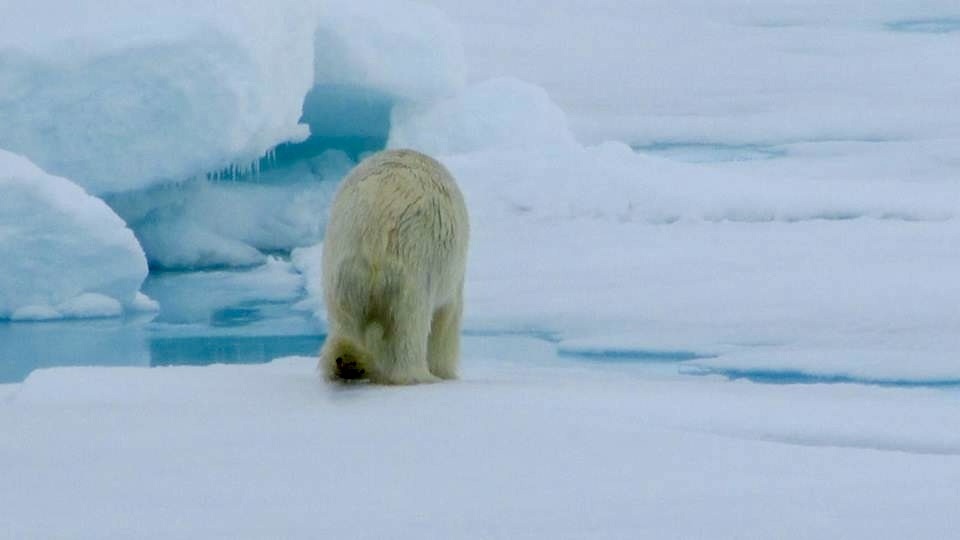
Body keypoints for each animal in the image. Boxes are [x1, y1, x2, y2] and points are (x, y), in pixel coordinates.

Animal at [319, 149, 469, 384]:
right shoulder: (451, 279)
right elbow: (446, 318)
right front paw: (445, 372)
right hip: (414, 262)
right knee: (410, 322)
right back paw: (418, 375)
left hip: (343, 266)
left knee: (345, 318)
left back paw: (348, 362)